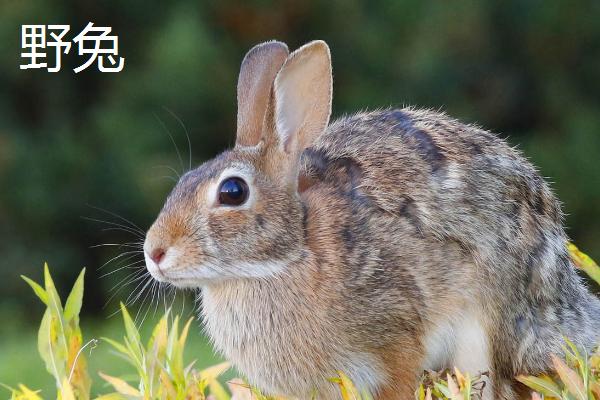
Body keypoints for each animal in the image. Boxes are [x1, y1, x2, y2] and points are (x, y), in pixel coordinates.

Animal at [143, 40, 600, 400]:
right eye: (183, 181)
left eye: (232, 192)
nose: (155, 253)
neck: (292, 253)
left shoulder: (397, 338)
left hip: (491, 332)